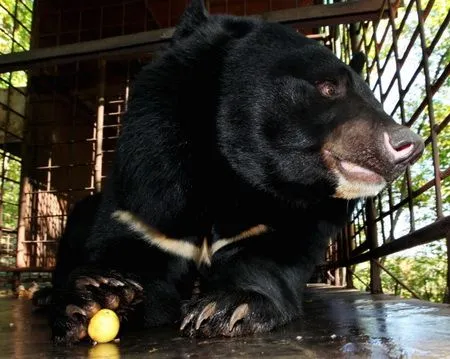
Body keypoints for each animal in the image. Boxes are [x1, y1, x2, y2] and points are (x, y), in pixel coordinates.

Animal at [47, 0, 424, 346]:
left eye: (373, 98)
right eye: (328, 87)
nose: (409, 145)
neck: (235, 176)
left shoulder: (296, 217)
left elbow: (272, 258)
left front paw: (228, 306)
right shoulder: (148, 192)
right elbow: (128, 249)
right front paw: (96, 296)